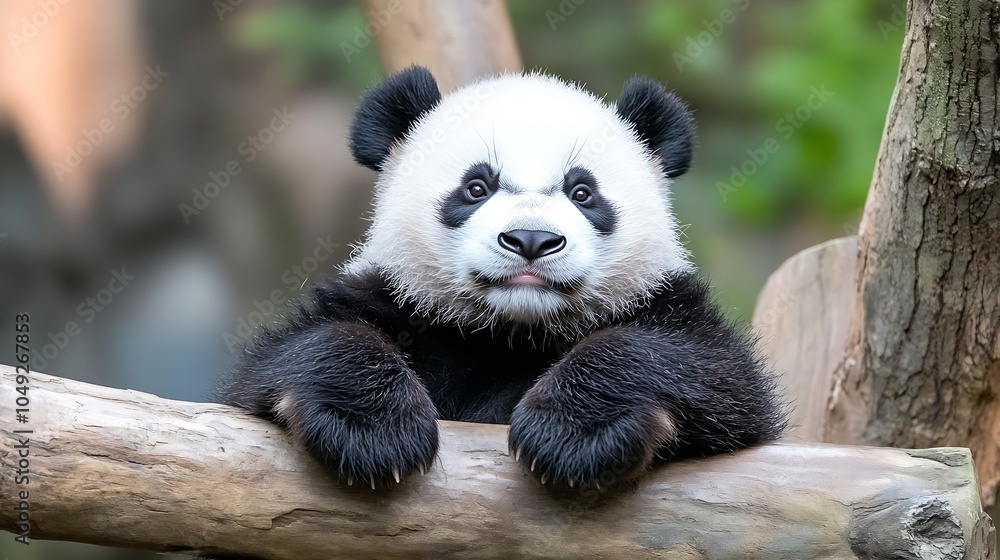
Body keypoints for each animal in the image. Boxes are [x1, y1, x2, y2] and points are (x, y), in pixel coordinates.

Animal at [220, 66, 786, 490]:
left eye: (582, 192)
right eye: (476, 187)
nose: (531, 240)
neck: (510, 329)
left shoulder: (665, 305)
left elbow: (711, 374)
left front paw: (571, 435)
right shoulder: (394, 300)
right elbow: (299, 352)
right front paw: (372, 432)